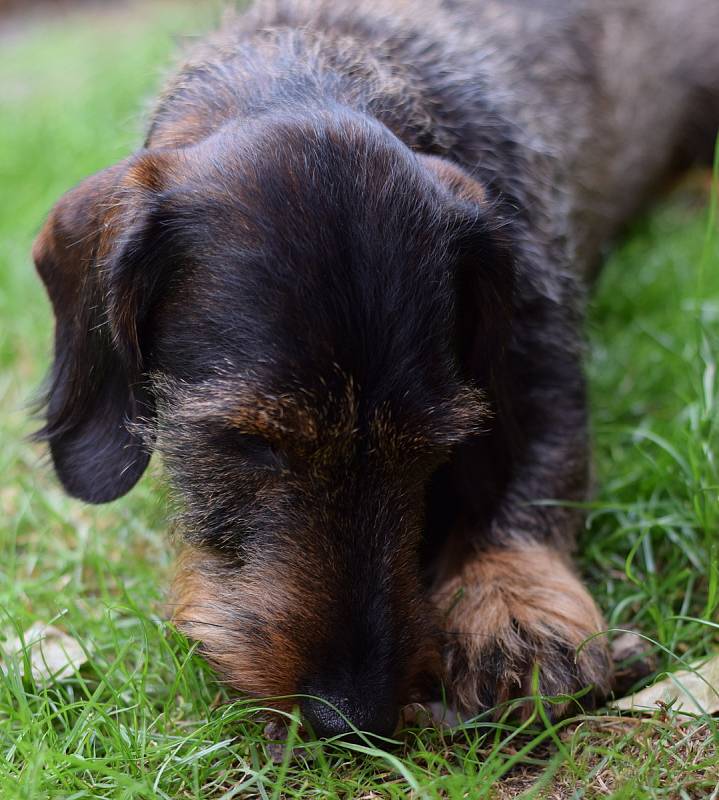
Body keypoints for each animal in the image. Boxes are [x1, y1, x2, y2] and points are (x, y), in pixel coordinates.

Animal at [31, 0, 716, 736]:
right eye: (251, 444)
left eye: (430, 448)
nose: (351, 716)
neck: (318, 58)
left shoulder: (539, 354)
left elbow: (535, 485)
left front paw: (513, 610)